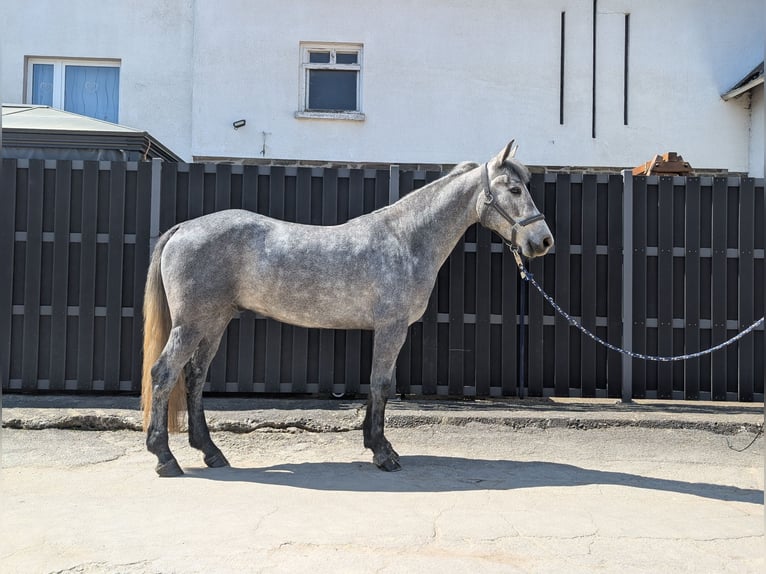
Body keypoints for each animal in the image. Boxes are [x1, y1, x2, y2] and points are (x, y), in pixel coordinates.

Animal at [141, 141, 554, 477]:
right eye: (514, 189)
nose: (543, 241)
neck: (405, 239)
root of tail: (182, 229)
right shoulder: (391, 328)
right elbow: (381, 385)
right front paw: (384, 454)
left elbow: (376, 385)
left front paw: (375, 446)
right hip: (191, 325)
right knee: (164, 374)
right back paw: (165, 458)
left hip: (214, 322)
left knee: (194, 378)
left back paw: (211, 452)